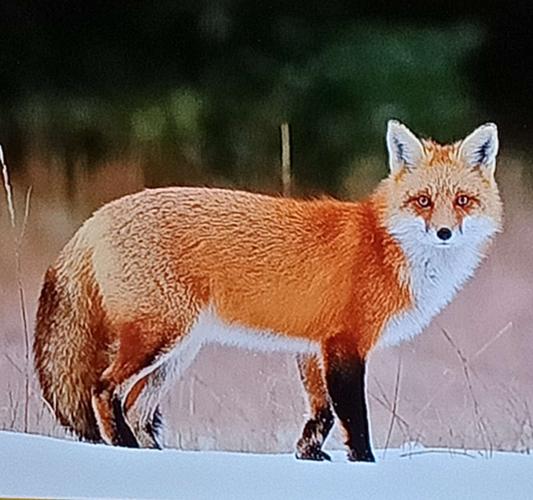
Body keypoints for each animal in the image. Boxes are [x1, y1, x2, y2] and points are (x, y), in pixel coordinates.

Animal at [33, 120, 498, 460]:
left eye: (462, 201)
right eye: (423, 201)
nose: (443, 233)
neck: (385, 247)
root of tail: (97, 216)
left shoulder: (313, 347)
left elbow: (321, 415)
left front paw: (309, 457)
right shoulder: (346, 345)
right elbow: (354, 420)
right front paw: (365, 468)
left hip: (176, 354)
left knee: (137, 409)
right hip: (157, 339)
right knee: (103, 389)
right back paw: (127, 454)